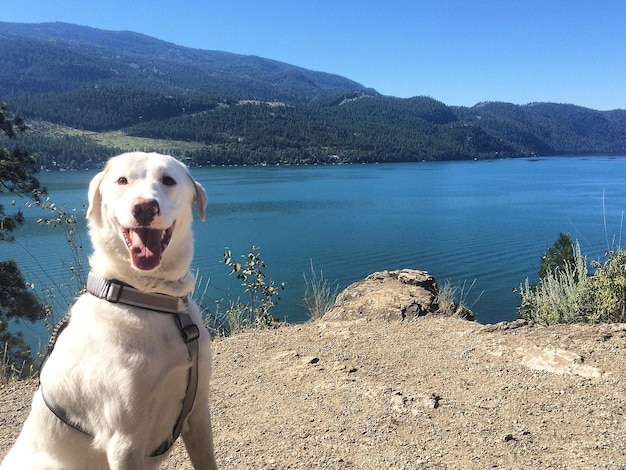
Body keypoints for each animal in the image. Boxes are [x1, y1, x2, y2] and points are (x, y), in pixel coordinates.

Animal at [1, 152, 217, 468]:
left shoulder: (198, 412)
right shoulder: (125, 442)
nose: (143, 207)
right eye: (122, 180)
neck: (147, 297)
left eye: (168, 180)